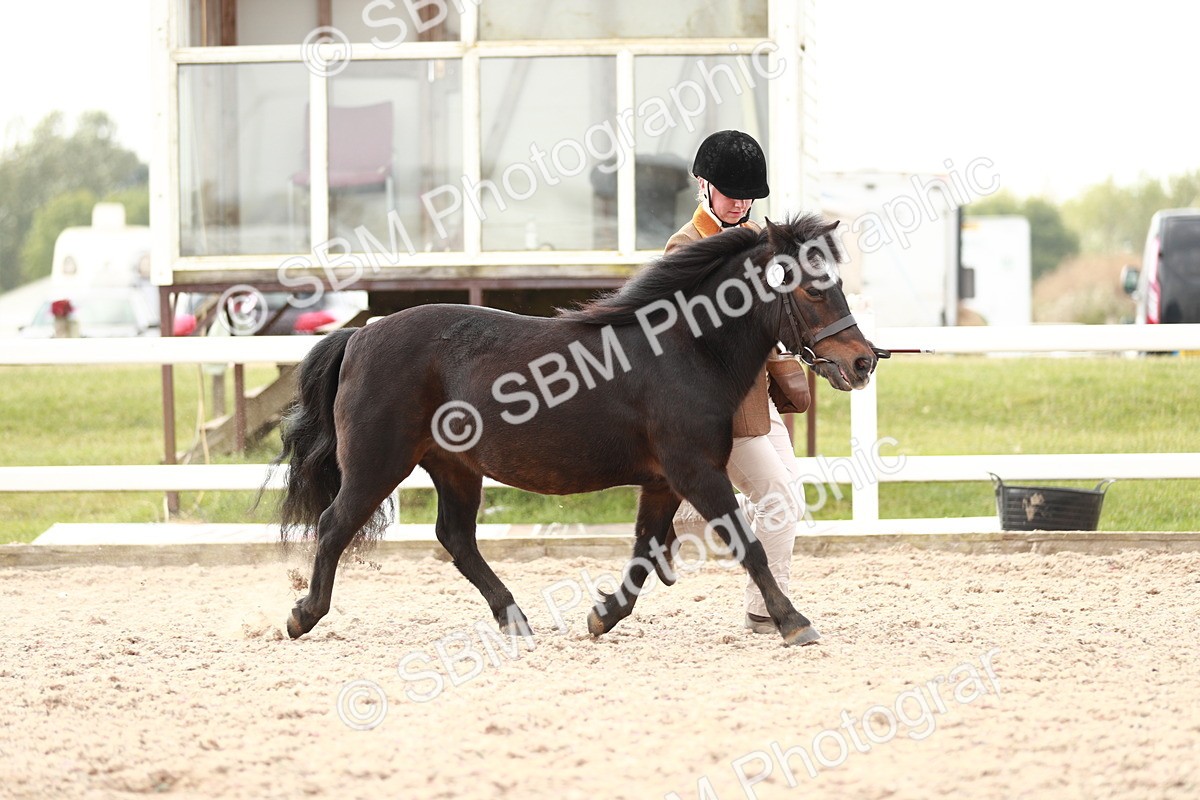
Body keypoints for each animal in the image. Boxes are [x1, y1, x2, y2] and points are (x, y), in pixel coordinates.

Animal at [275, 214, 881, 645]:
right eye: (812, 289)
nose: (862, 362)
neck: (685, 347)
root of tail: (360, 334)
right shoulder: (696, 472)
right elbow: (748, 544)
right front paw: (793, 621)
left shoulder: (665, 482)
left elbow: (645, 552)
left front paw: (603, 616)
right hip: (378, 464)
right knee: (334, 525)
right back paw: (304, 616)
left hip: (454, 467)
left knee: (456, 538)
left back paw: (515, 620)